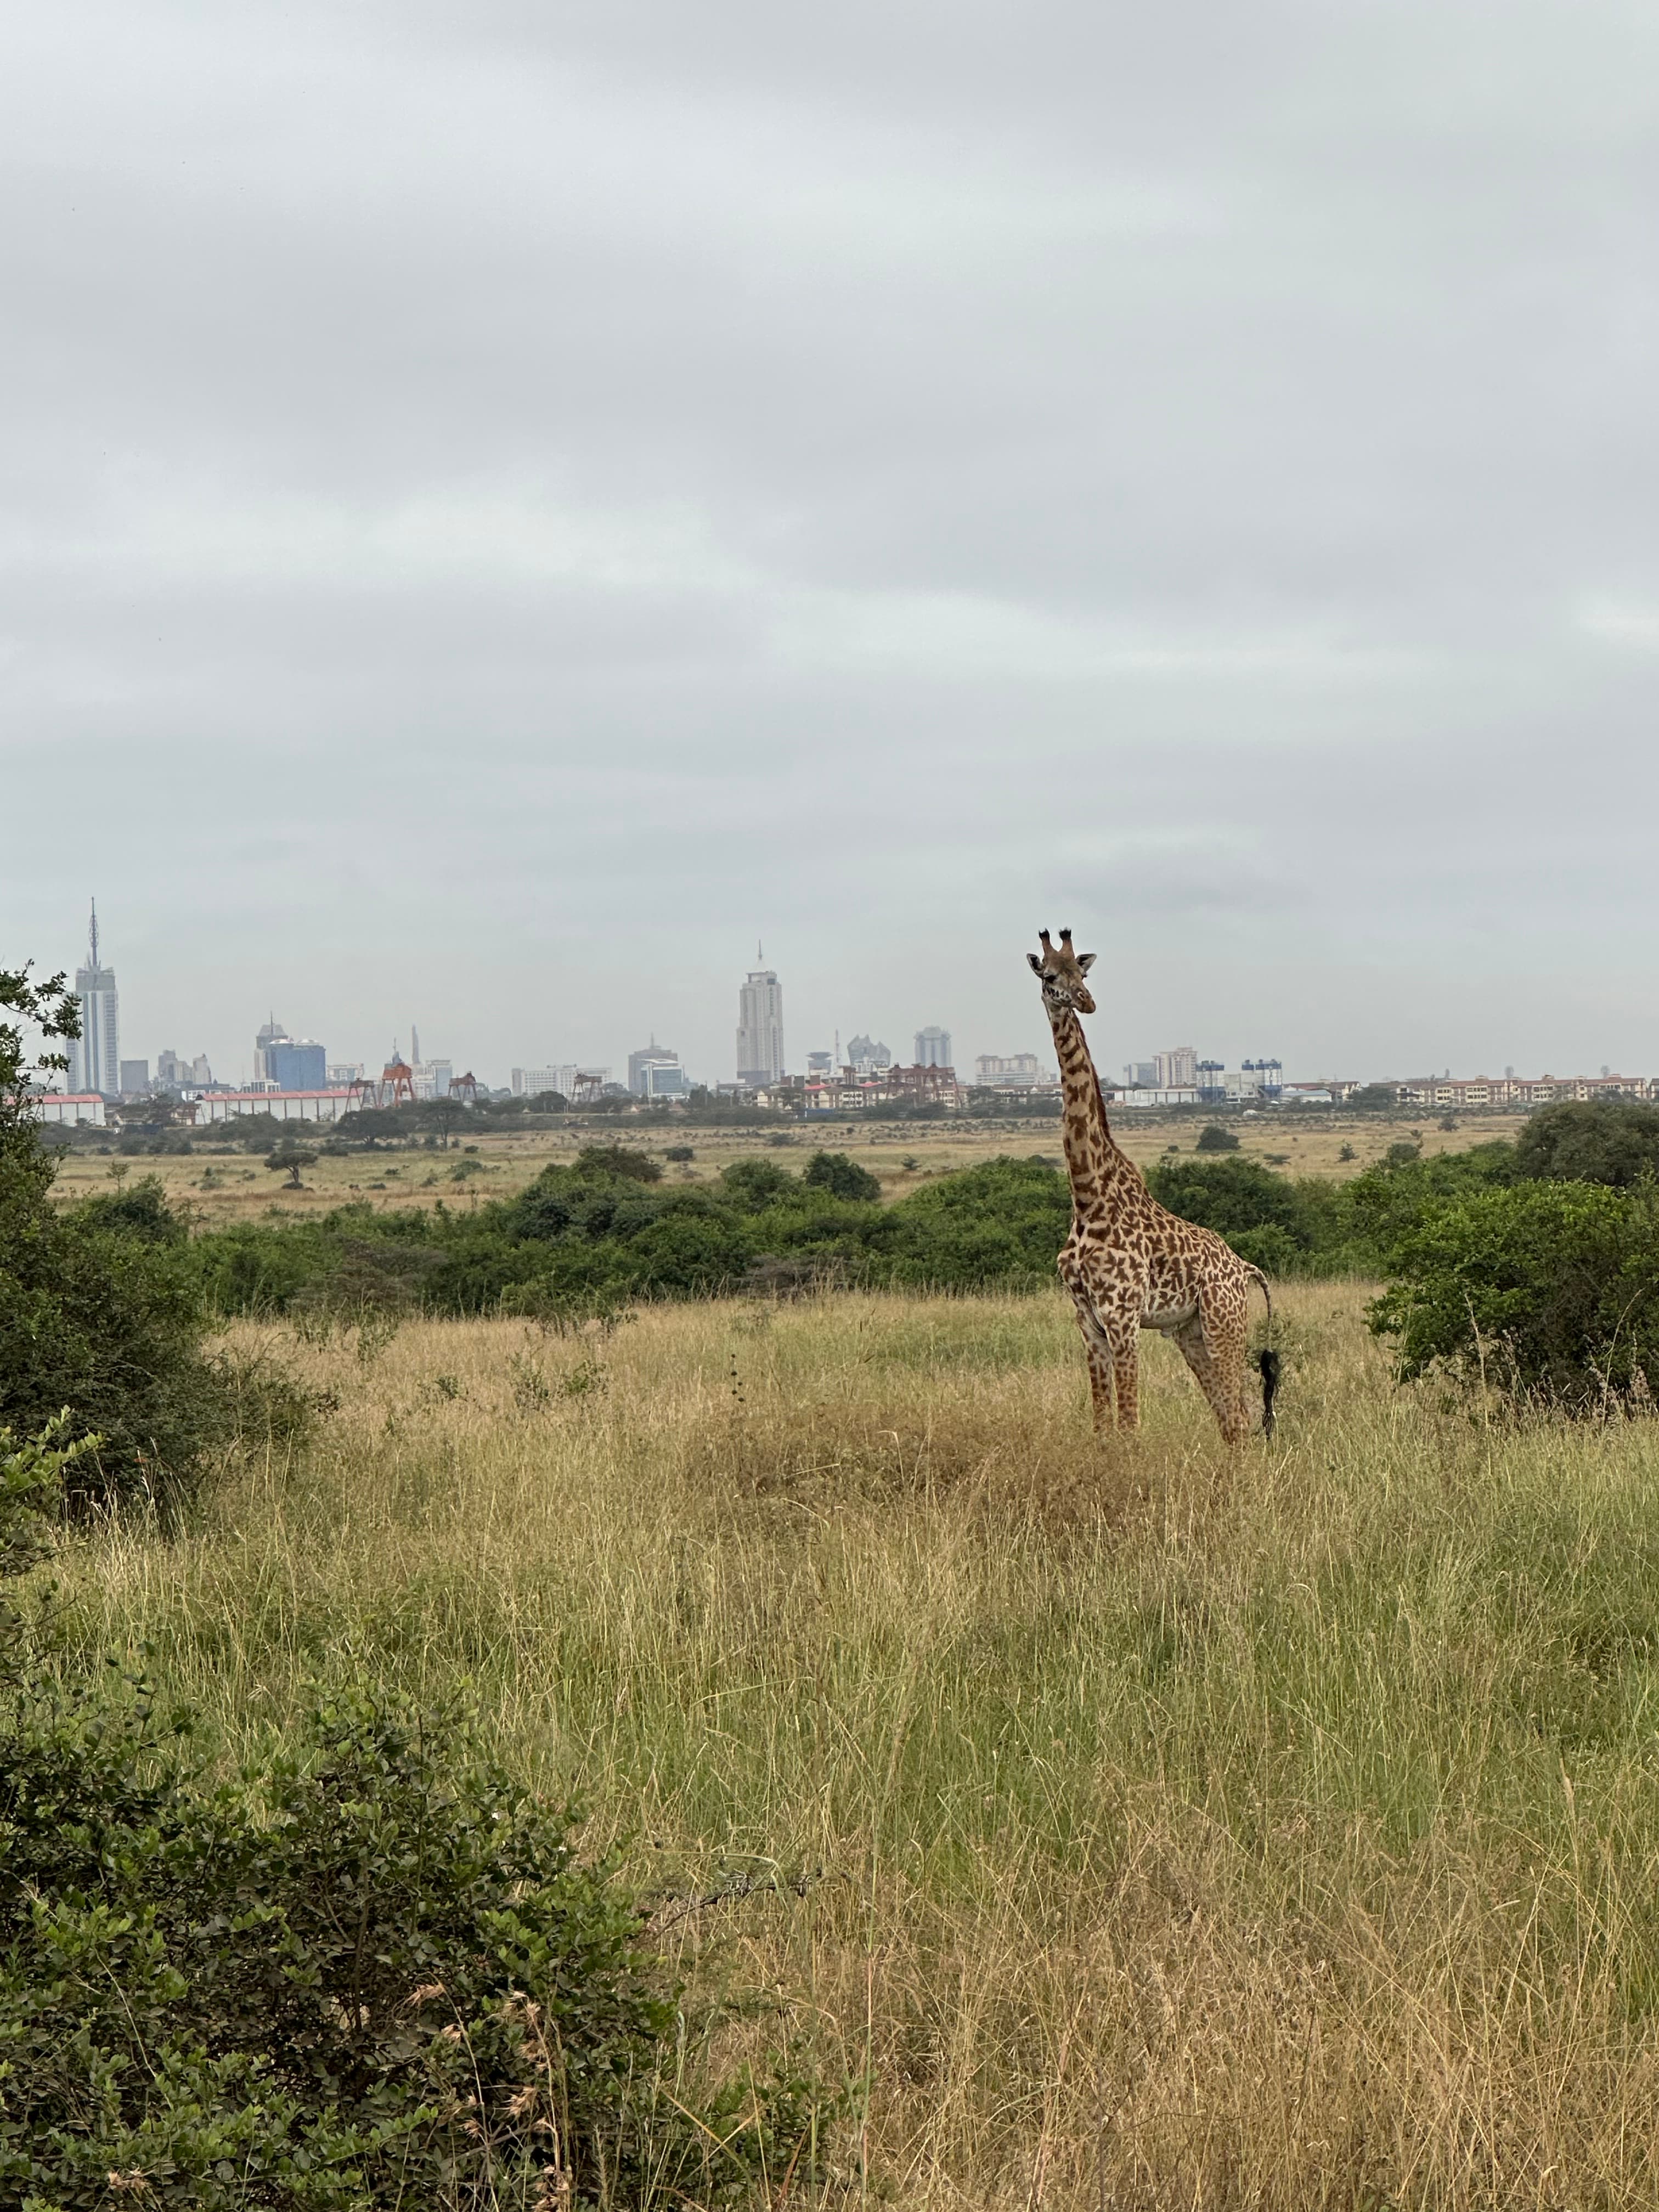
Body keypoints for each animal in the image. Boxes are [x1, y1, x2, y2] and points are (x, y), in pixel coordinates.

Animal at [1028, 928, 1279, 1443]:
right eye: (1049, 977)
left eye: (1083, 974)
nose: (1087, 1002)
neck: (1087, 1196)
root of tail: (1244, 1267)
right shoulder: (1087, 1321)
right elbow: (1103, 1425)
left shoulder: (1122, 1316)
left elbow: (1129, 1425)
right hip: (1190, 1331)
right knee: (1229, 1420)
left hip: (1224, 1324)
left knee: (1241, 1416)